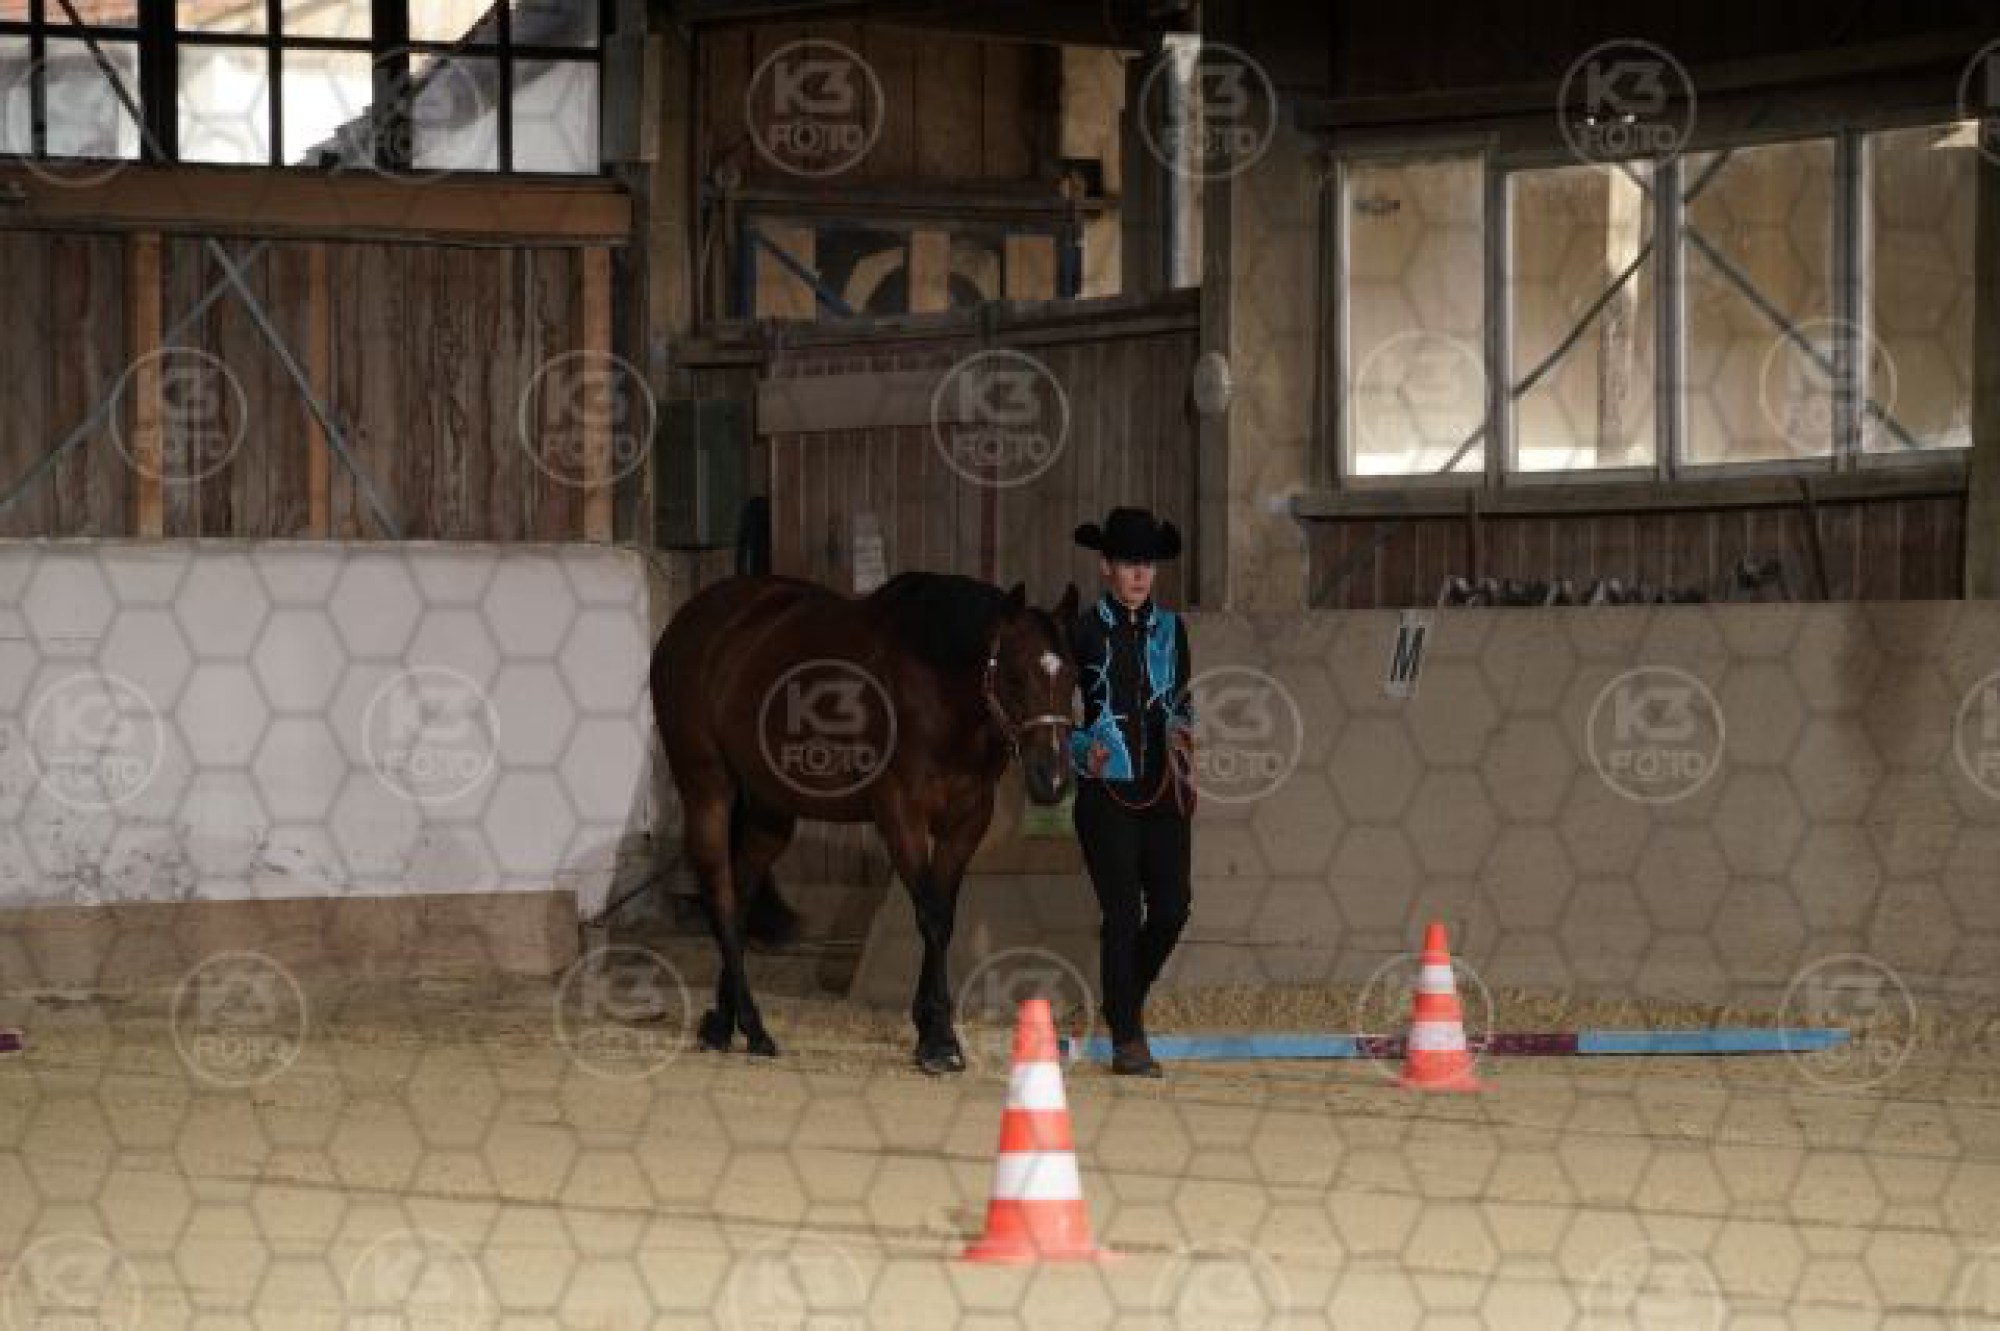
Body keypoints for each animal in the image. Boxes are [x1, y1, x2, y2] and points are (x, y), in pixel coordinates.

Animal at [651, 571, 1080, 1073]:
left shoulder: (967, 820)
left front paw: (933, 1031)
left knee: (738, 899)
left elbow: (944, 916)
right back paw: (755, 1028)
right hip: (707, 788)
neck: (934, 684)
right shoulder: (899, 815)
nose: (1053, 780)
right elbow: (931, 916)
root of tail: (687, 622)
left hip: (769, 813)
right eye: (1014, 676)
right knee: (718, 894)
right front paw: (939, 1041)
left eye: (1072, 676)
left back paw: (722, 1024)